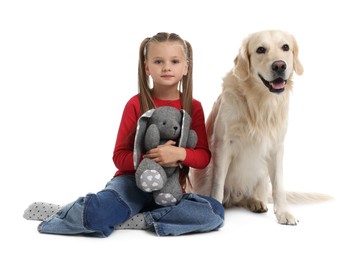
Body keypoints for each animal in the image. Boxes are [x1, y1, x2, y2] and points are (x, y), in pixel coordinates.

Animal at [187, 30, 330, 225]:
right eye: (260, 49)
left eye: (286, 47)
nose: (279, 65)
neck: (259, 101)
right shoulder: (223, 145)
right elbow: (218, 184)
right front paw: (215, 210)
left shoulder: (277, 148)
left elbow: (279, 185)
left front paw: (284, 213)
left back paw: (255, 202)